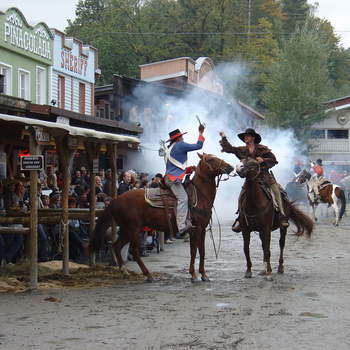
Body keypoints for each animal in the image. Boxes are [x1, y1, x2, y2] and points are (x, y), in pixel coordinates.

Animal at [90, 153, 232, 282]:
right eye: (211, 159)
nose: (229, 167)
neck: (199, 196)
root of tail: (116, 200)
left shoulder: (202, 229)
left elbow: (202, 251)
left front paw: (203, 274)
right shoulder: (194, 230)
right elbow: (193, 251)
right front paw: (193, 275)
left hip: (126, 229)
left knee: (117, 246)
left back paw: (124, 271)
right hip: (133, 230)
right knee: (134, 251)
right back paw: (148, 275)